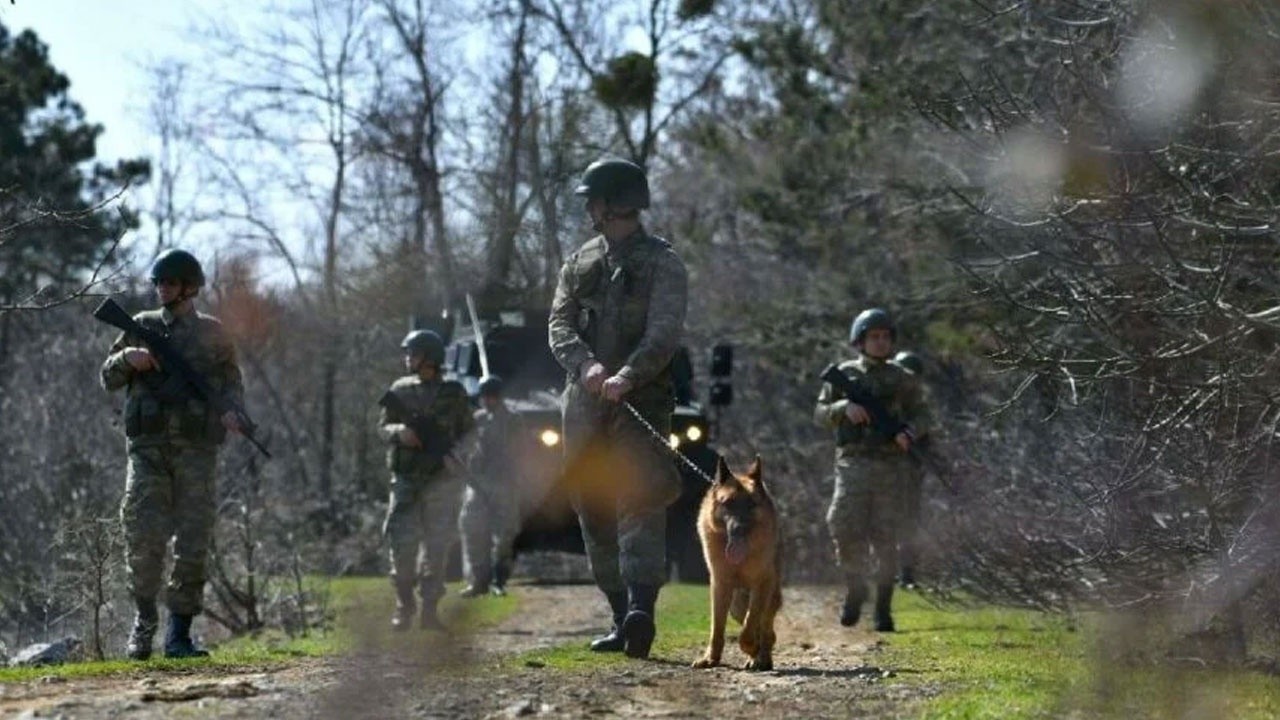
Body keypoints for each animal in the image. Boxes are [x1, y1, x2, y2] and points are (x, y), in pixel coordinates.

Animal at [691, 453, 778, 666]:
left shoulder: (762, 584)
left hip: (769, 595)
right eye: (728, 503)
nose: (739, 529)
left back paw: (761, 657)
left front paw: (752, 647)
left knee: (766, 628)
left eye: (751, 504)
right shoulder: (720, 585)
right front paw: (710, 658)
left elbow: (750, 624)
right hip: (736, 604)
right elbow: (716, 627)